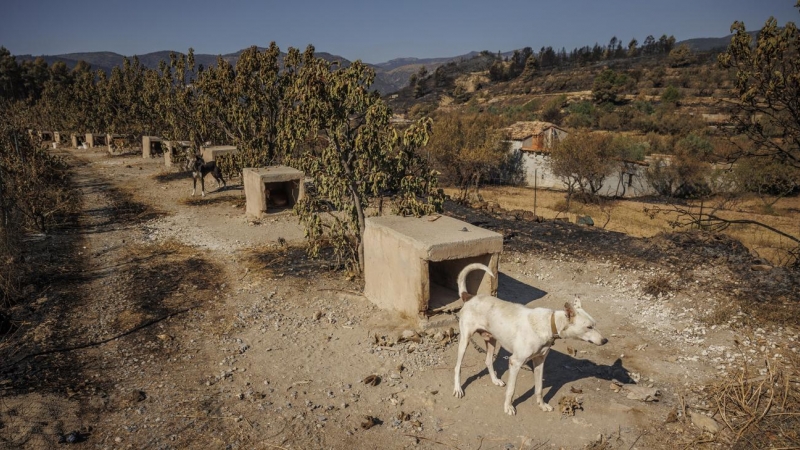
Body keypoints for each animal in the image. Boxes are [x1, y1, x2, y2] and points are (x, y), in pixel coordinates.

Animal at [454, 264, 608, 414]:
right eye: (589, 327)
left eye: (595, 325)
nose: (605, 340)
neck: (548, 324)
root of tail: (470, 297)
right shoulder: (515, 362)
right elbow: (511, 390)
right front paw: (508, 407)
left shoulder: (539, 361)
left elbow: (539, 388)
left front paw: (542, 405)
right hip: (465, 340)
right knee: (457, 367)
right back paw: (458, 389)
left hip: (491, 340)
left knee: (488, 361)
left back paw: (495, 380)